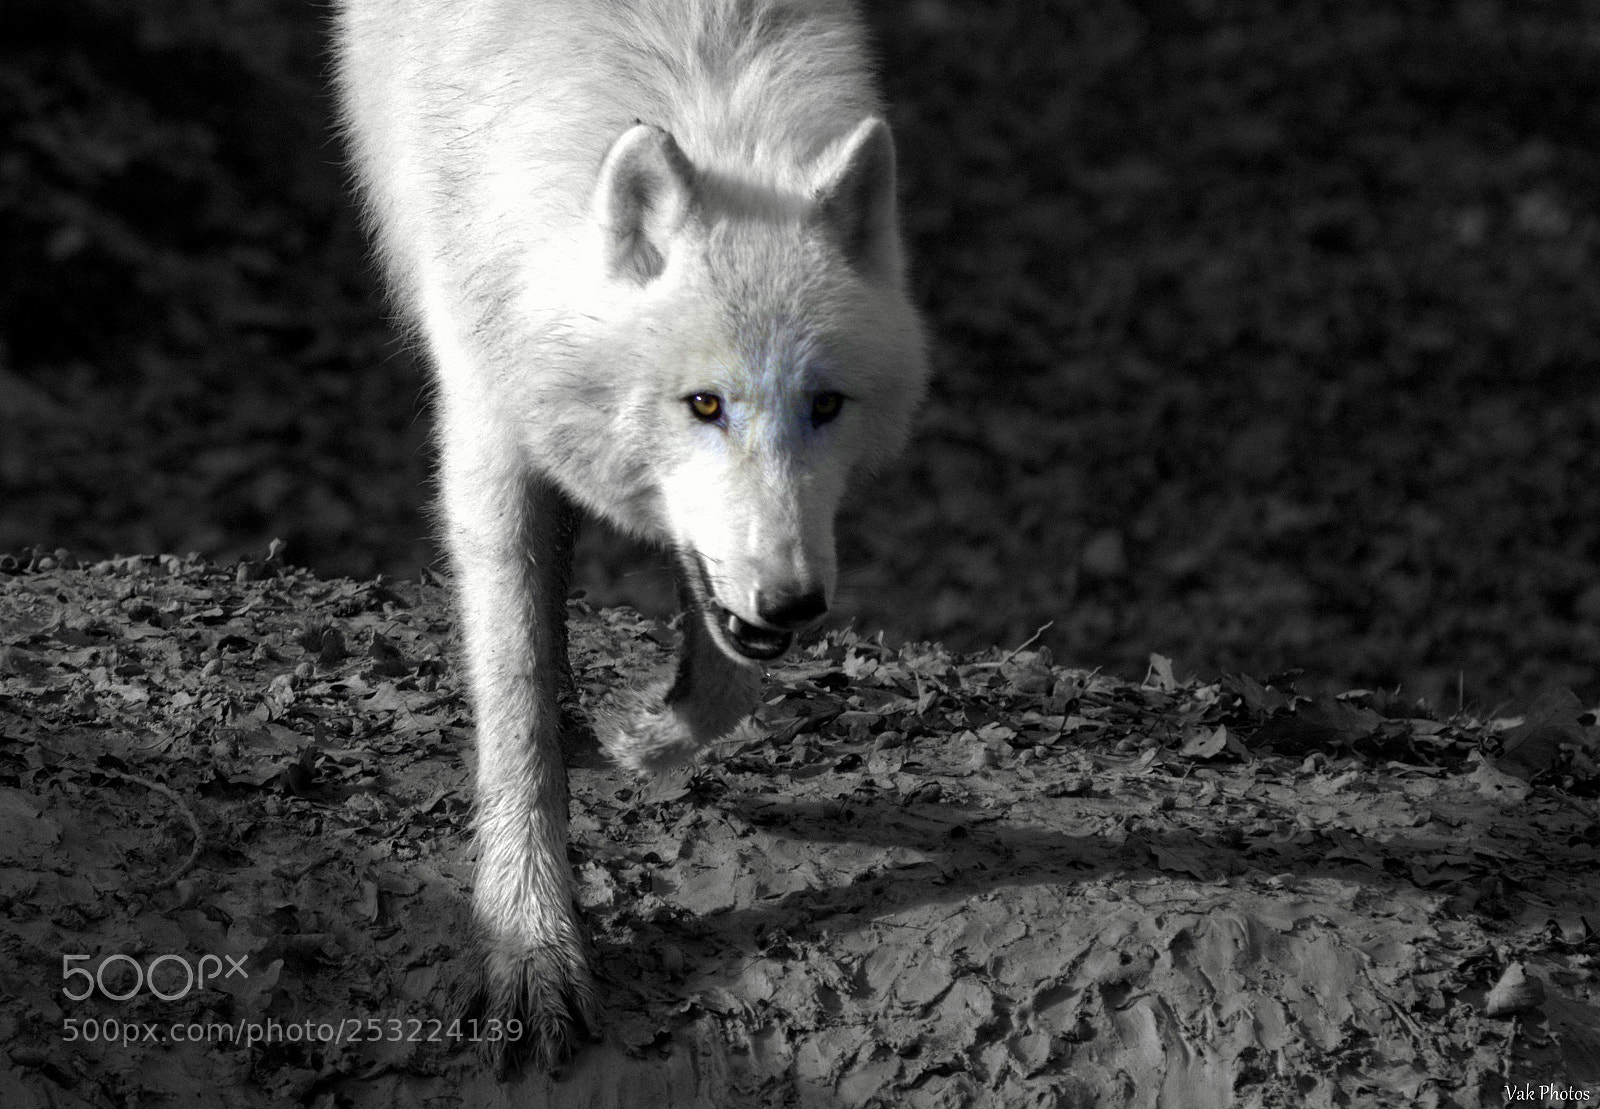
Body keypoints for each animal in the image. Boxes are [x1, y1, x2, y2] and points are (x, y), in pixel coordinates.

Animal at [332, 0, 927, 1072]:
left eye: (825, 404)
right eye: (704, 403)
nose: (795, 604)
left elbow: (725, 678)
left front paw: (634, 736)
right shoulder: (486, 418)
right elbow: (515, 693)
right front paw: (530, 938)